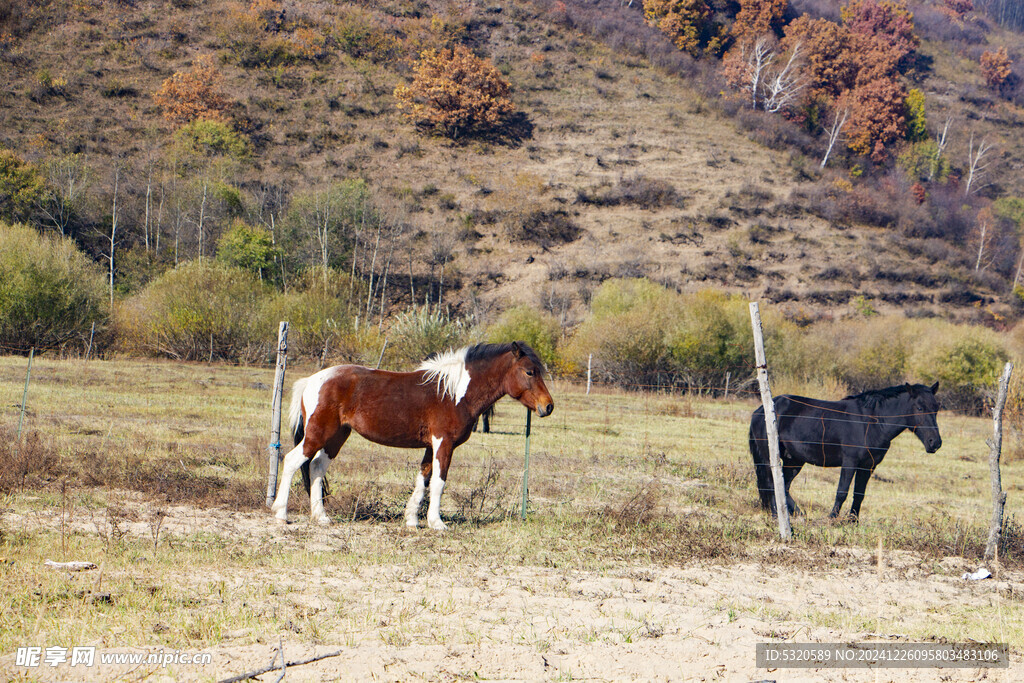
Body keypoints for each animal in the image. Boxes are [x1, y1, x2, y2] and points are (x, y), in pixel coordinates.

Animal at [270, 342, 552, 528]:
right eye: (530, 371)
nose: (548, 406)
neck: (453, 393)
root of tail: (311, 380)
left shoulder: (431, 446)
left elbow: (423, 479)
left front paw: (412, 520)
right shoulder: (444, 443)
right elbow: (439, 481)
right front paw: (437, 523)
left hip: (337, 437)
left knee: (317, 467)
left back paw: (321, 517)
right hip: (318, 433)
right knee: (293, 461)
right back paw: (281, 513)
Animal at [749, 382, 937, 520]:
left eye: (936, 409)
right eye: (920, 408)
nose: (935, 442)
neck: (871, 422)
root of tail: (760, 411)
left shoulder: (868, 466)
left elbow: (859, 494)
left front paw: (853, 521)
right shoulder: (850, 462)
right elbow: (842, 491)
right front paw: (832, 518)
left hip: (794, 460)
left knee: (785, 486)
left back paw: (798, 514)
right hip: (769, 458)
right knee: (771, 484)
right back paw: (776, 515)